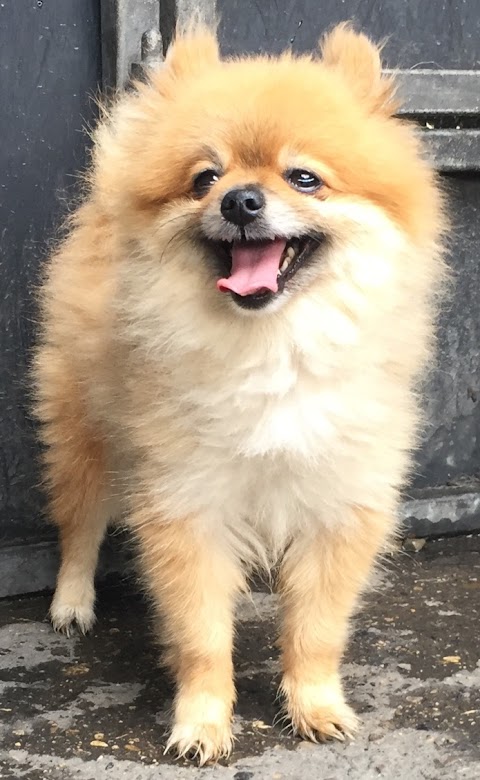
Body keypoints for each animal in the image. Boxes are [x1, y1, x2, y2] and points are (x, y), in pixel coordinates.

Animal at [33, 22, 444, 760]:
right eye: (206, 178)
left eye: (304, 177)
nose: (239, 200)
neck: (272, 347)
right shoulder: (187, 504)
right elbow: (202, 635)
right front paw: (202, 721)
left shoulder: (341, 501)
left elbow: (315, 630)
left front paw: (314, 703)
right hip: (83, 434)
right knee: (79, 521)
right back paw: (72, 601)